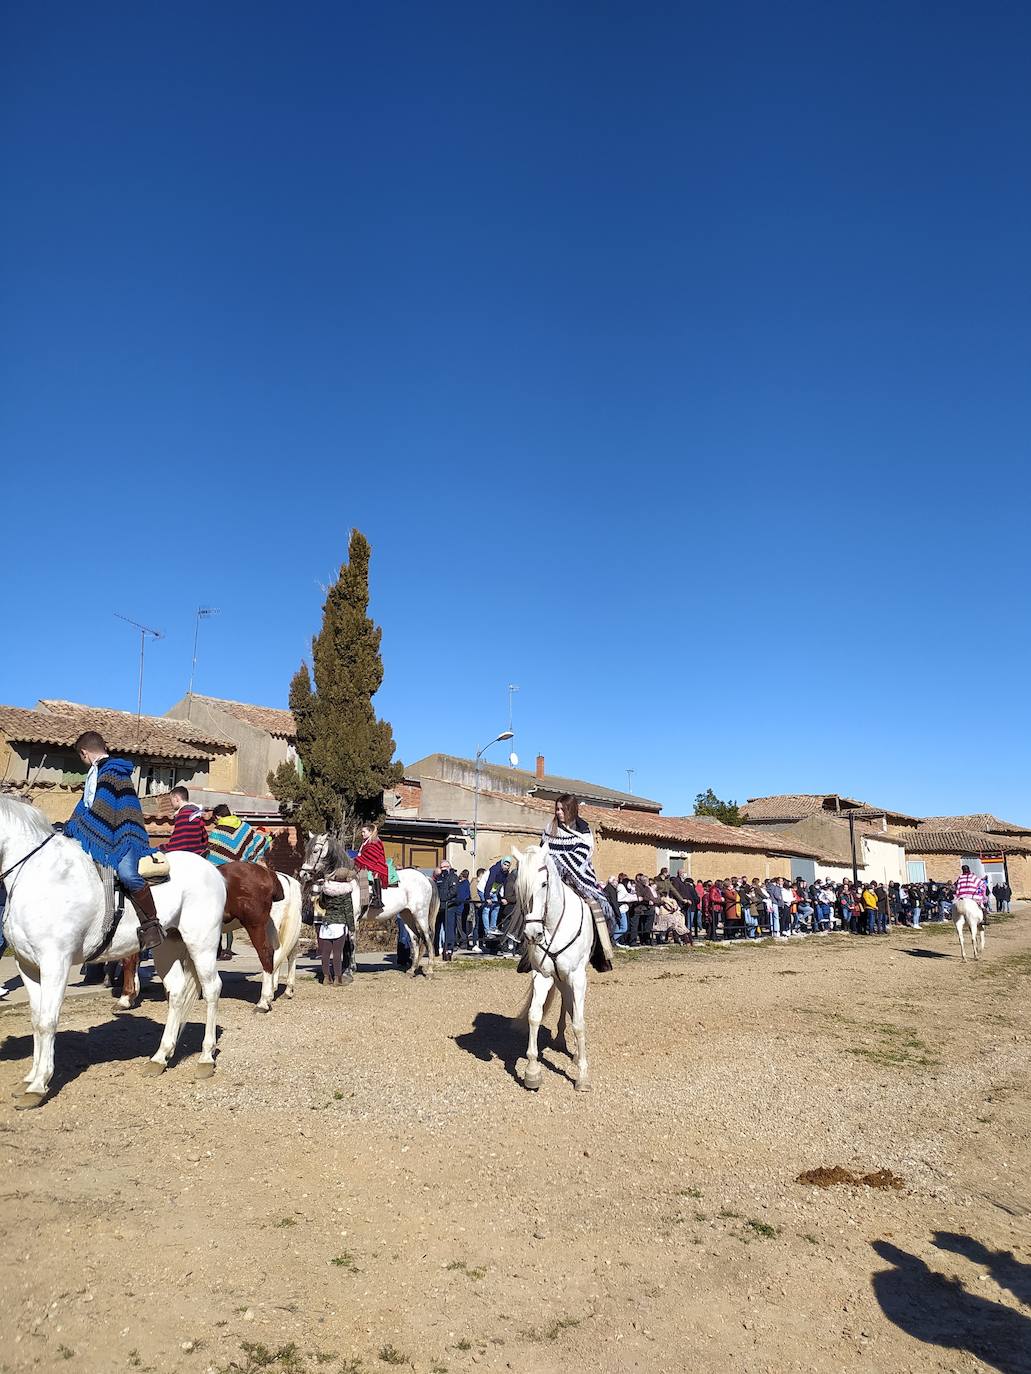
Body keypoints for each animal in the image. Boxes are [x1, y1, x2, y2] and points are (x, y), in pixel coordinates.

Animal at [0, 796, 225, 1104]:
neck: (37, 875)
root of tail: (212, 870)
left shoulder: (54, 963)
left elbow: (47, 1020)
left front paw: (39, 1085)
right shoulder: (28, 966)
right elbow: (35, 1020)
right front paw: (30, 1078)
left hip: (202, 943)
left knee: (212, 989)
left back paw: (205, 1058)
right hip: (166, 948)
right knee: (177, 993)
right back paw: (159, 1057)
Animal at [302, 829, 439, 972]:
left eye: (315, 851)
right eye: (306, 849)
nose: (304, 873)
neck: (347, 880)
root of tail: (425, 877)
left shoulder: (353, 918)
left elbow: (351, 941)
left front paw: (351, 967)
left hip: (420, 914)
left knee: (428, 936)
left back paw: (430, 968)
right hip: (407, 915)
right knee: (415, 937)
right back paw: (412, 969)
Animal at [511, 835, 593, 1093]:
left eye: (544, 884)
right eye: (519, 887)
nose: (532, 934)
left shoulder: (577, 976)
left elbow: (579, 1022)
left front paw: (582, 1077)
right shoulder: (543, 976)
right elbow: (534, 1015)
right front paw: (532, 1071)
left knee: (572, 1007)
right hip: (559, 978)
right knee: (565, 1001)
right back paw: (560, 1040)